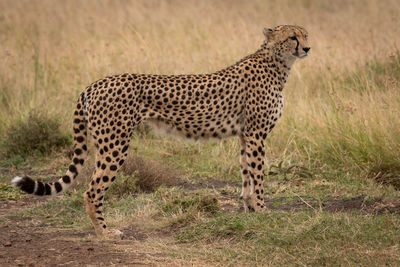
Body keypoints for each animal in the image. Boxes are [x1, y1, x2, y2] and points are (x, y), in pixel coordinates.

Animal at [11, 25, 310, 239]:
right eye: (292, 37)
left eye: (305, 34)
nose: (307, 47)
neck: (277, 62)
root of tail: (95, 83)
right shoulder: (257, 134)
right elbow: (258, 175)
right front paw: (262, 211)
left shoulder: (246, 135)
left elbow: (246, 174)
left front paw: (250, 210)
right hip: (115, 145)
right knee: (92, 190)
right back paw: (105, 233)